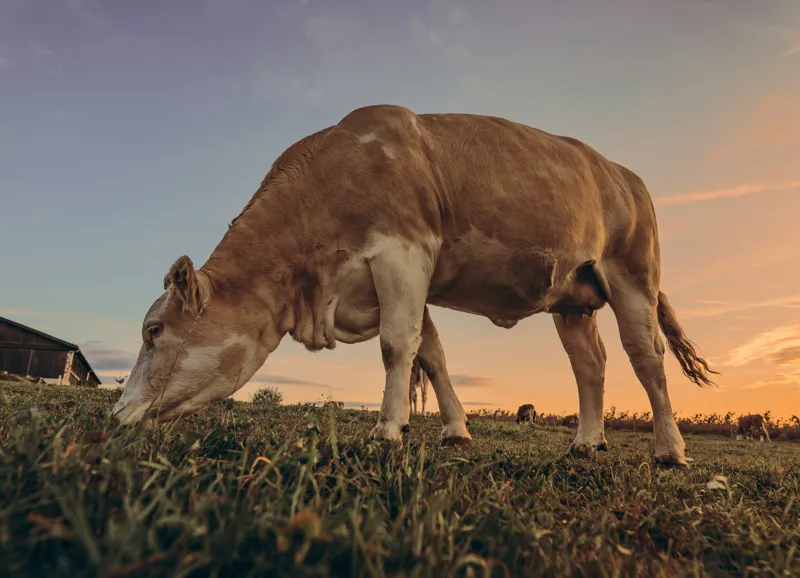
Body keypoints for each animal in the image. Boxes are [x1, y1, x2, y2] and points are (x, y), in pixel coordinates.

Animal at [111, 104, 718, 469]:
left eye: (153, 330)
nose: (114, 416)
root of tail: (621, 172)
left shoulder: (403, 253)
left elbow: (396, 345)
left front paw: (388, 428)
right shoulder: (402, 278)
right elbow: (432, 353)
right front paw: (454, 430)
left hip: (633, 275)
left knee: (647, 358)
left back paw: (670, 449)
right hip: (573, 298)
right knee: (589, 364)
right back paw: (587, 442)